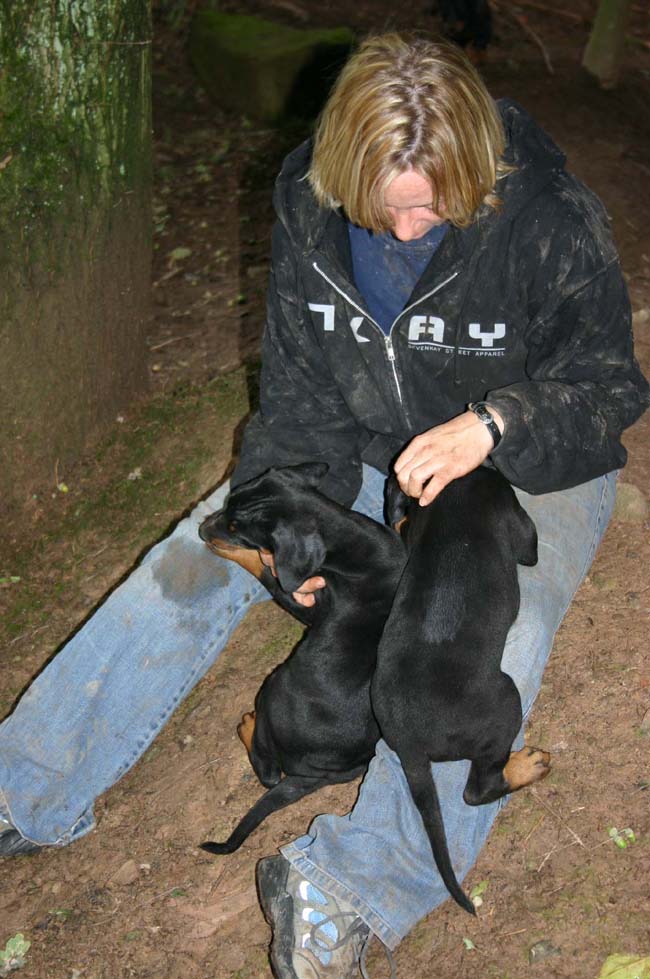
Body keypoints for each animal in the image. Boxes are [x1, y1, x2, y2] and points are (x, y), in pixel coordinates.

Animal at [197, 463, 405, 854]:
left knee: (267, 772)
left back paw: (247, 726)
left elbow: (266, 573)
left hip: (274, 686)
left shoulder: (303, 601)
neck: (350, 537)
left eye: (234, 528)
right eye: (227, 505)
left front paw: (235, 553)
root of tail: (321, 773)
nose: (202, 530)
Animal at [372, 466, 550, 914]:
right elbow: (529, 546)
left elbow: (403, 526)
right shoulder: (518, 523)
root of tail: (409, 740)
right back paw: (526, 766)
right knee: (476, 789)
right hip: (506, 702)